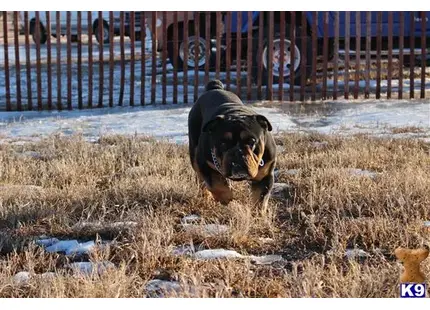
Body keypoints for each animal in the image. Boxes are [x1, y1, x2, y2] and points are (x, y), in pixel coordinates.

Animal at [187, 78, 276, 208]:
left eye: (251, 141)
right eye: (223, 143)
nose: (237, 153)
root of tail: (215, 88)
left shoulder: (264, 176)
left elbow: (260, 199)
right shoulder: (204, 163)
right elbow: (216, 184)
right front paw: (227, 198)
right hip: (194, 154)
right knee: (201, 180)